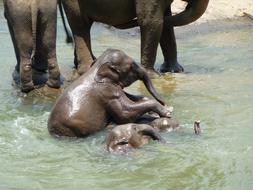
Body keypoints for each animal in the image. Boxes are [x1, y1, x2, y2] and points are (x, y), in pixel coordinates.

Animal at [60, 0, 209, 77]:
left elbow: (165, 22)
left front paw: (175, 71)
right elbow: (151, 21)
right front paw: (153, 75)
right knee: (80, 25)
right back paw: (86, 69)